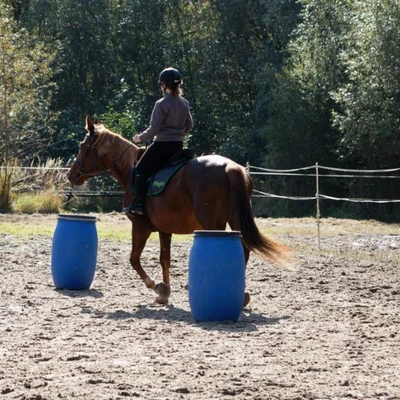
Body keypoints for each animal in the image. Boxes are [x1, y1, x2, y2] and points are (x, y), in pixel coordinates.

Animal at [69, 115, 286, 306]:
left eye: (81, 146)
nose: (71, 175)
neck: (131, 170)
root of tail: (230, 167)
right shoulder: (165, 229)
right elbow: (164, 259)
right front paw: (164, 294)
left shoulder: (140, 226)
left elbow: (134, 260)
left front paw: (157, 287)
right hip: (234, 220)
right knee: (244, 250)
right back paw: (242, 297)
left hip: (213, 224)